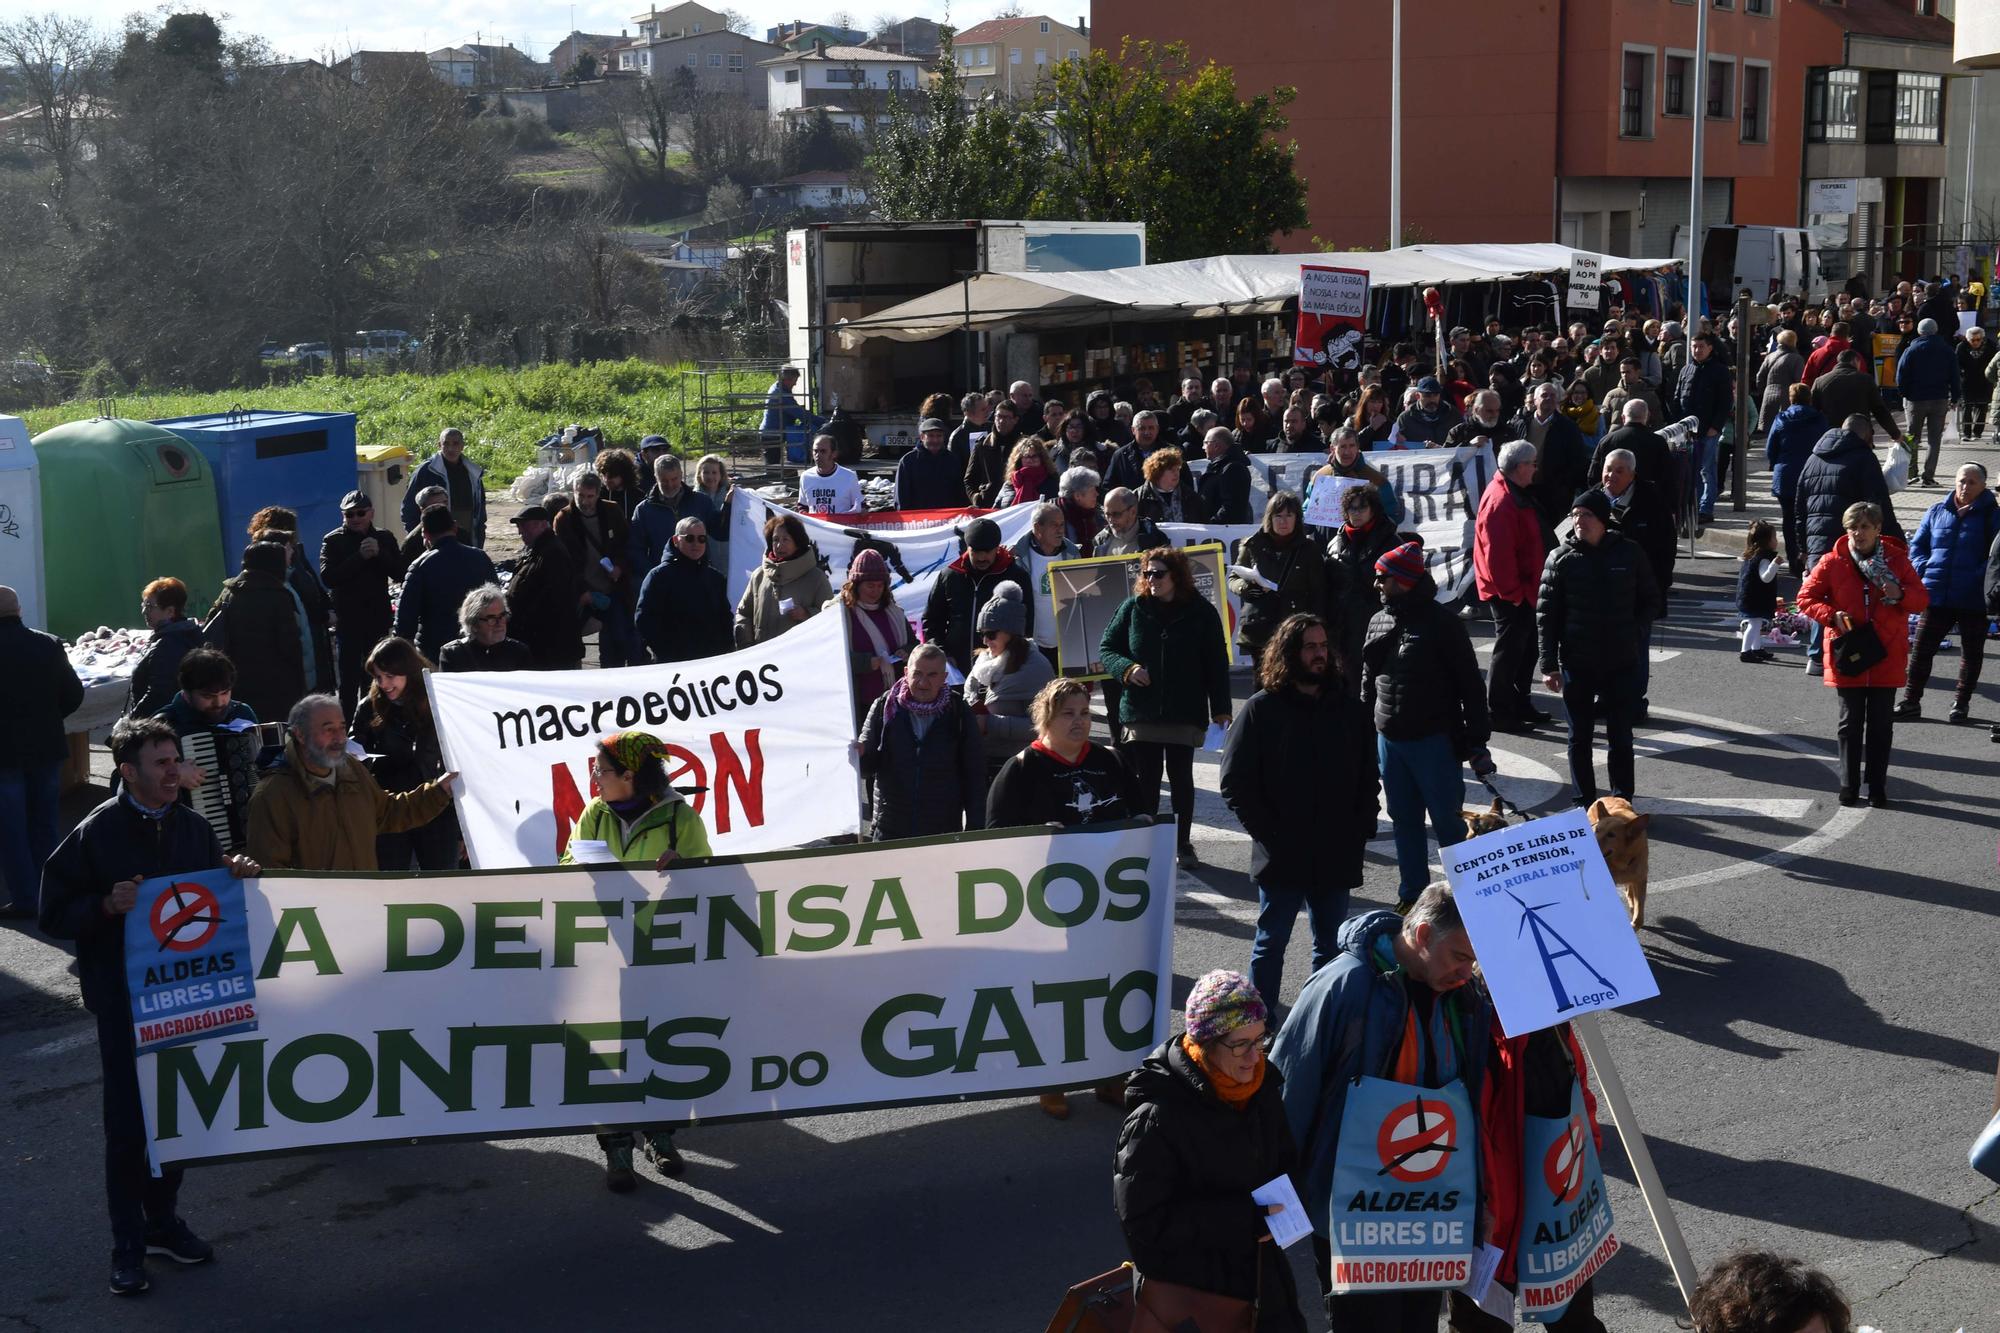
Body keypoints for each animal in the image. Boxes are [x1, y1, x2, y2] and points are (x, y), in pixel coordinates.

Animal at [1584, 792, 1648, 928]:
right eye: (1597, 830)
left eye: (1611, 835)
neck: (1621, 863)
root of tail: (1609, 796)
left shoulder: (1640, 880)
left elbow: (1639, 917)